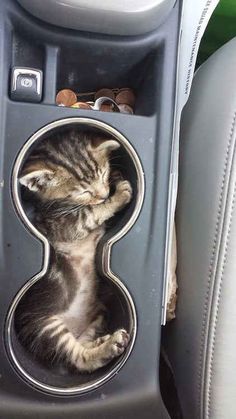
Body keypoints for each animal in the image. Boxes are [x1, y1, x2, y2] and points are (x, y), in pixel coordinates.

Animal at [14, 131, 133, 374]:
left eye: (103, 174)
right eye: (84, 192)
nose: (104, 194)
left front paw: (117, 180)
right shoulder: (64, 225)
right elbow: (91, 212)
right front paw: (118, 196)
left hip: (98, 314)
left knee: (83, 345)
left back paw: (103, 342)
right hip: (45, 326)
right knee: (78, 359)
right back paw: (106, 347)